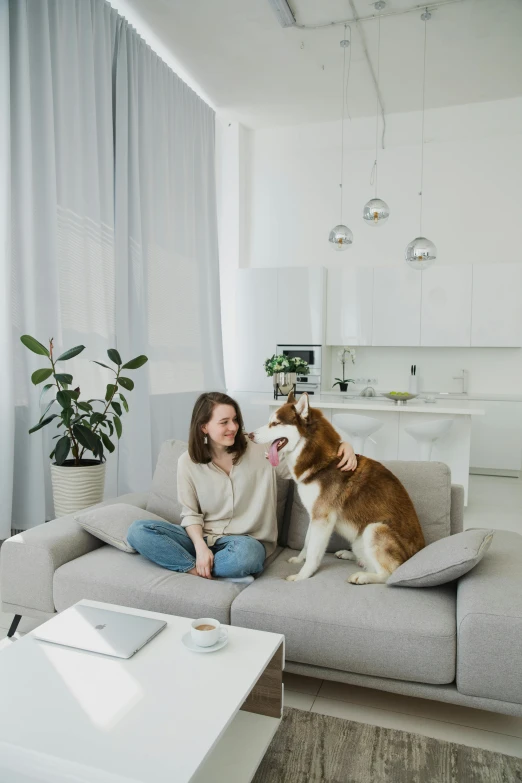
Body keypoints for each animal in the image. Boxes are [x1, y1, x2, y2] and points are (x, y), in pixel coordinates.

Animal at [254, 392, 424, 580]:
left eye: (275, 423)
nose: (250, 434)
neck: (322, 463)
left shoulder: (322, 518)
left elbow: (313, 553)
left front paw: (302, 575)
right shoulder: (315, 517)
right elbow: (307, 542)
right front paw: (299, 560)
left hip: (374, 528)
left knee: (388, 573)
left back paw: (362, 577)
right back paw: (351, 555)